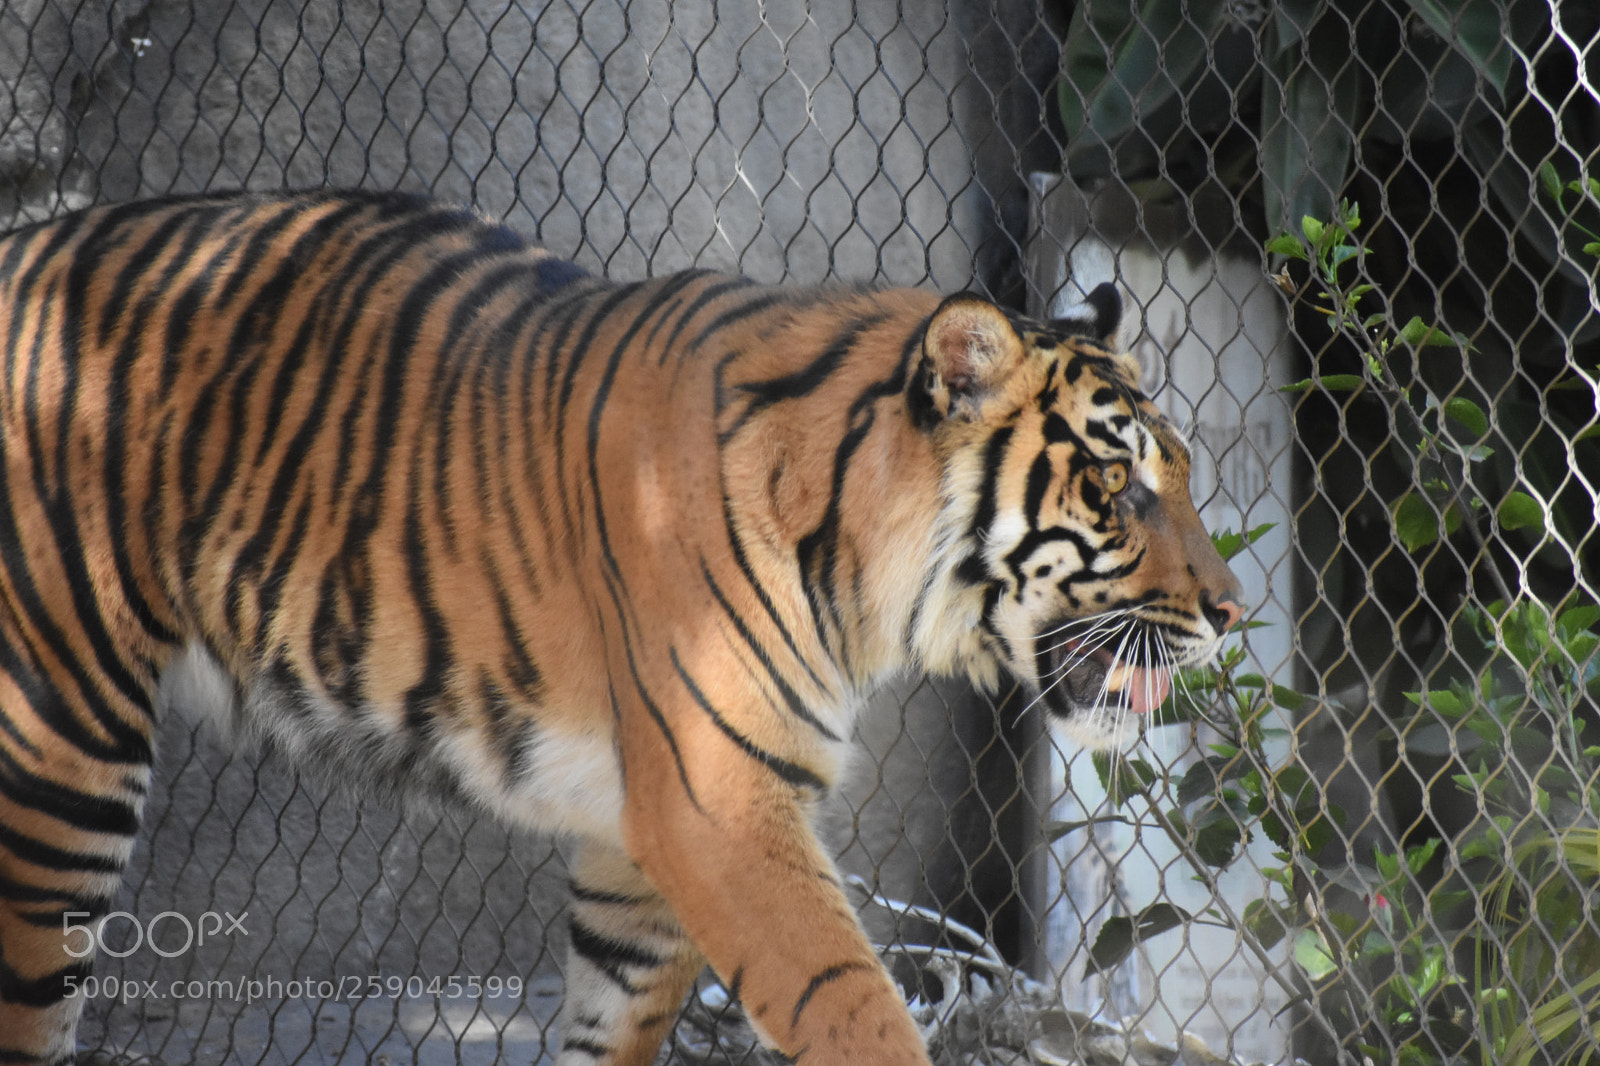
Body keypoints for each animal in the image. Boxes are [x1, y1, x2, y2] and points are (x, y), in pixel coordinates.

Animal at [0, 189, 1242, 1066]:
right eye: (1117, 484)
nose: (1231, 612)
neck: (855, 567)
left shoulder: (637, 847)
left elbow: (614, 1025)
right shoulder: (720, 804)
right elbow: (855, 1008)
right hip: (60, 748)